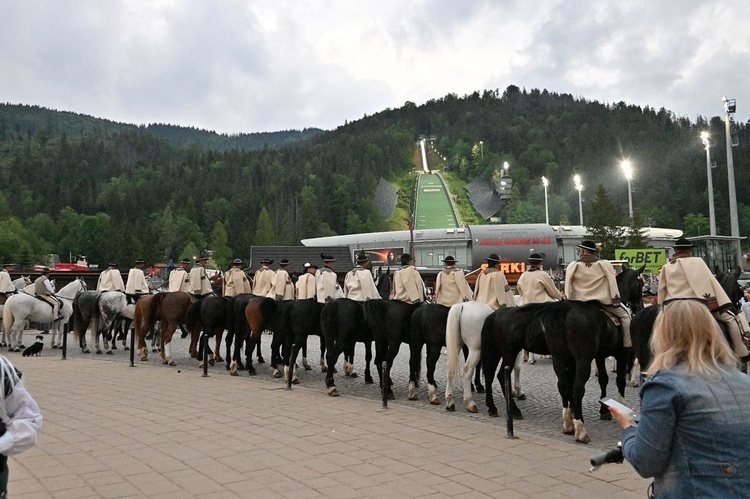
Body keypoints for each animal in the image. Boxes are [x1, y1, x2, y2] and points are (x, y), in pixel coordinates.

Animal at [482, 300, 628, 446]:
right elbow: (618, 380)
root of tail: (495, 314)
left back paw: (495, 407)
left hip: (503, 352)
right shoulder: (620, 354)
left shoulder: (582, 358)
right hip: (511, 353)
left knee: (493, 375)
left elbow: (591, 380)